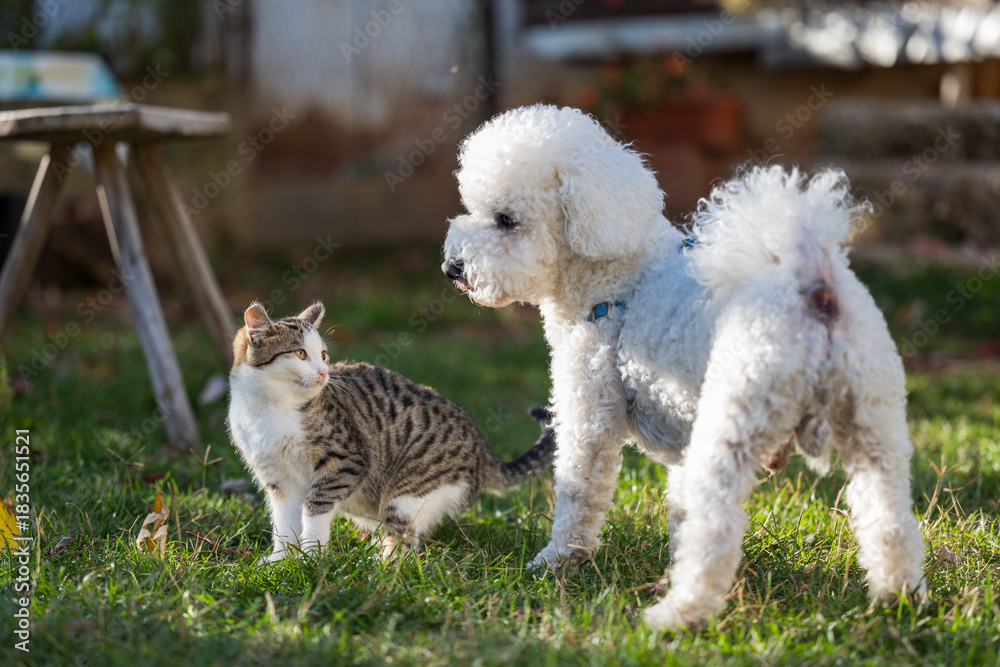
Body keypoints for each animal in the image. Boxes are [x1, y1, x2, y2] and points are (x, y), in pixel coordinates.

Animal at [227, 301, 555, 562]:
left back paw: (380, 564)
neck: (269, 409)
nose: (324, 372)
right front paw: (281, 561)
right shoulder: (278, 480)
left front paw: (310, 559)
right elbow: (284, 523)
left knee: (406, 542)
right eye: (299, 353)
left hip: (408, 490)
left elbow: (314, 508)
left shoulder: (345, 462)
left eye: (323, 354)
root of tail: (482, 448)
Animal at [440, 104, 926, 631]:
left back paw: (677, 614)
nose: (452, 268)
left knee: (717, 530)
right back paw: (898, 599)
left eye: (506, 221)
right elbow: (678, 509)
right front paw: (668, 557)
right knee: (890, 517)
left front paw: (558, 562)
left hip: (734, 418)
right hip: (874, 421)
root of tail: (813, 288)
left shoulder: (590, 416)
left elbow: (579, 492)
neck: (617, 281)